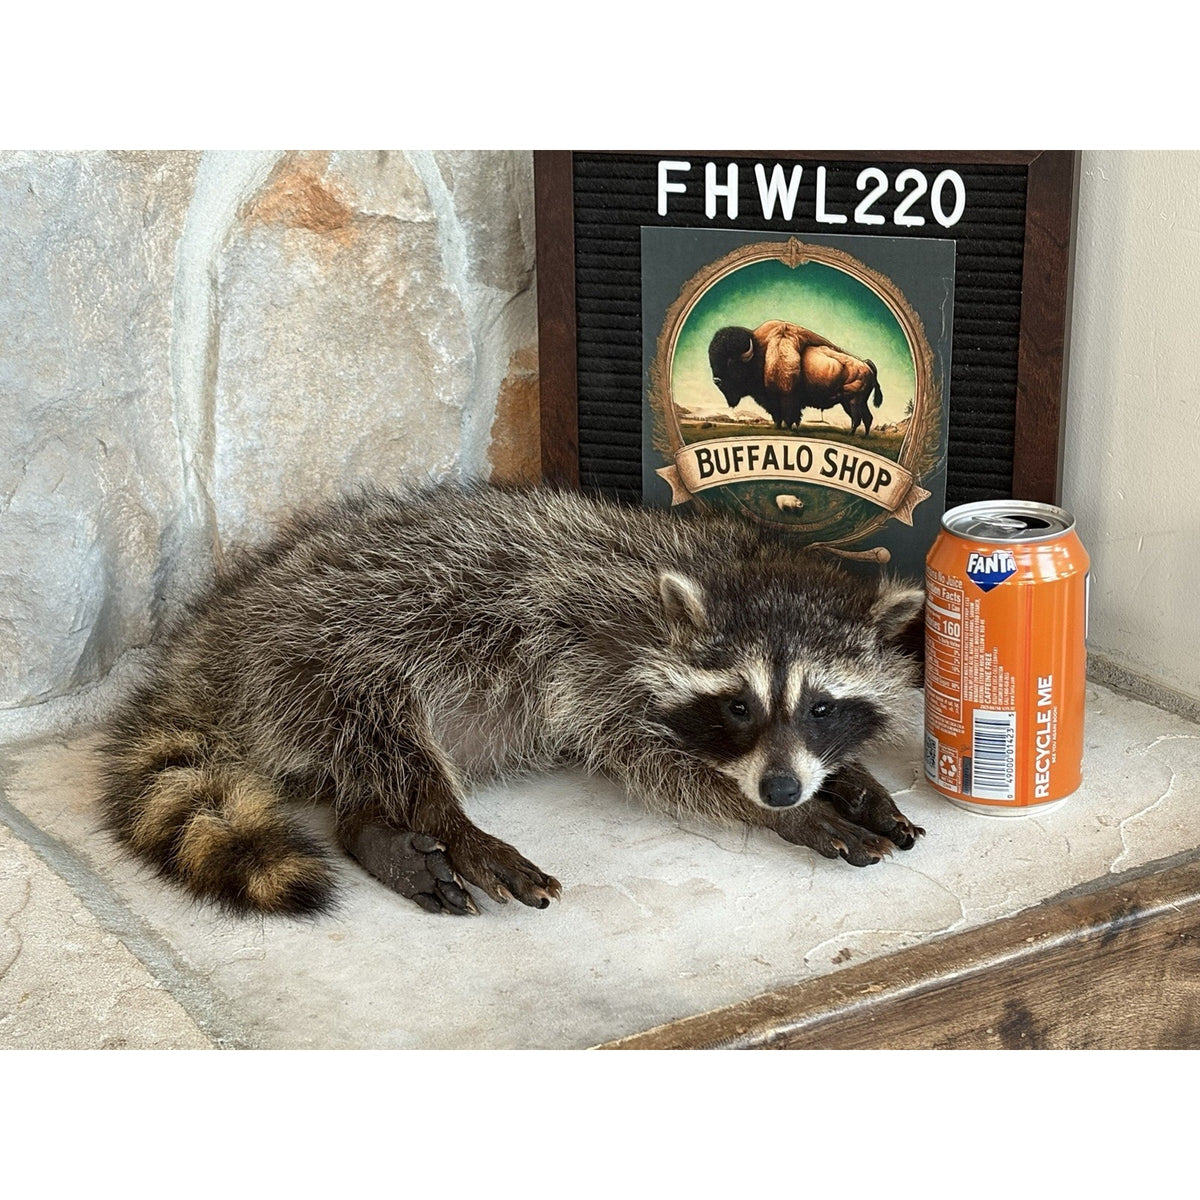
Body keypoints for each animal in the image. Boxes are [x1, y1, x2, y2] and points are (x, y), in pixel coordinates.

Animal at [99, 481, 926, 917]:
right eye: (739, 706)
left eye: (820, 706)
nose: (781, 789)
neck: (738, 567)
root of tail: (218, 632)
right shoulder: (600, 665)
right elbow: (660, 766)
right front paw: (793, 815)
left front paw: (849, 781)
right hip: (331, 652)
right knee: (393, 745)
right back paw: (449, 827)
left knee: (363, 777)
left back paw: (369, 829)